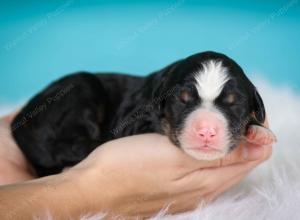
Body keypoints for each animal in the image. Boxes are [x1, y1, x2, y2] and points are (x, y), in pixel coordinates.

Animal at [10, 50, 276, 176]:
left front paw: (259, 132)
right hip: (80, 87)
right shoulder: (134, 120)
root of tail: (19, 122)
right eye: (182, 100)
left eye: (233, 104)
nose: (207, 131)